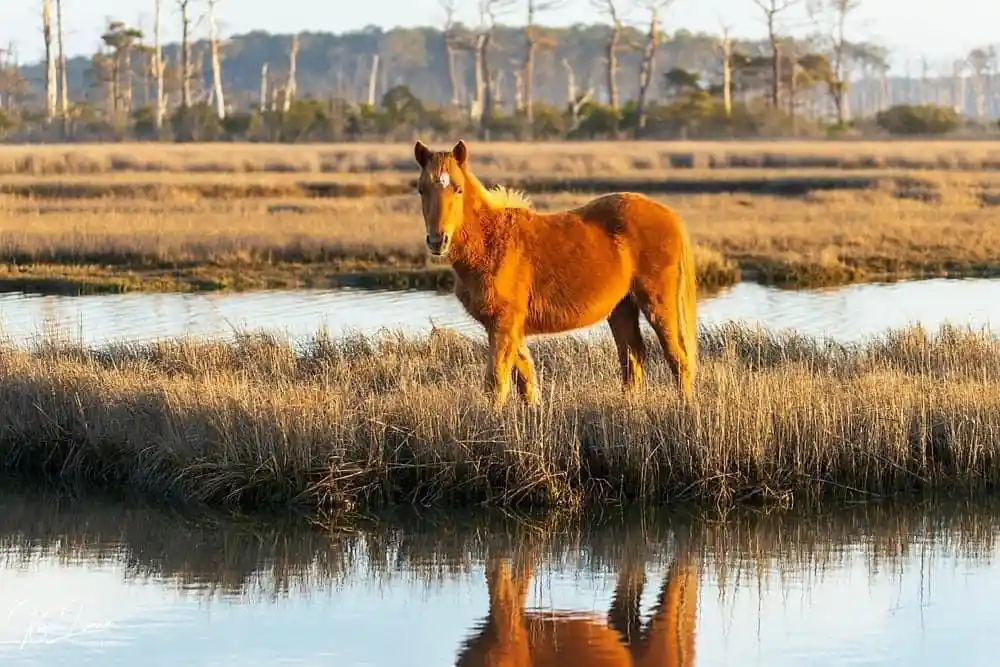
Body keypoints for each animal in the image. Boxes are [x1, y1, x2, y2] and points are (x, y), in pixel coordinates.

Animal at [412, 139, 698, 409]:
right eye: (421, 189)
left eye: (458, 189)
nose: (437, 240)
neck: (491, 241)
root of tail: (671, 216)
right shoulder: (507, 327)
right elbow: (524, 379)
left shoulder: (503, 323)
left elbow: (496, 381)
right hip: (622, 308)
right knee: (632, 361)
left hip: (658, 303)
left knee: (678, 357)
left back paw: (685, 407)